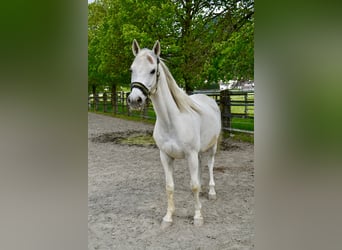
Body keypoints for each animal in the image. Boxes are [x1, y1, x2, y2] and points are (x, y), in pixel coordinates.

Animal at [127, 39, 220, 227]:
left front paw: (198, 216)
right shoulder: (165, 156)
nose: (134, 100)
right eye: (132, 69)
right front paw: (168, 217)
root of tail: (209, 99)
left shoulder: (190, 155)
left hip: (212, 146)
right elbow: (170, 186)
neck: (172, 121)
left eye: (152, 70)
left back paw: (212, 192)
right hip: (198, 152)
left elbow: (194, 186)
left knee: (210, 165)